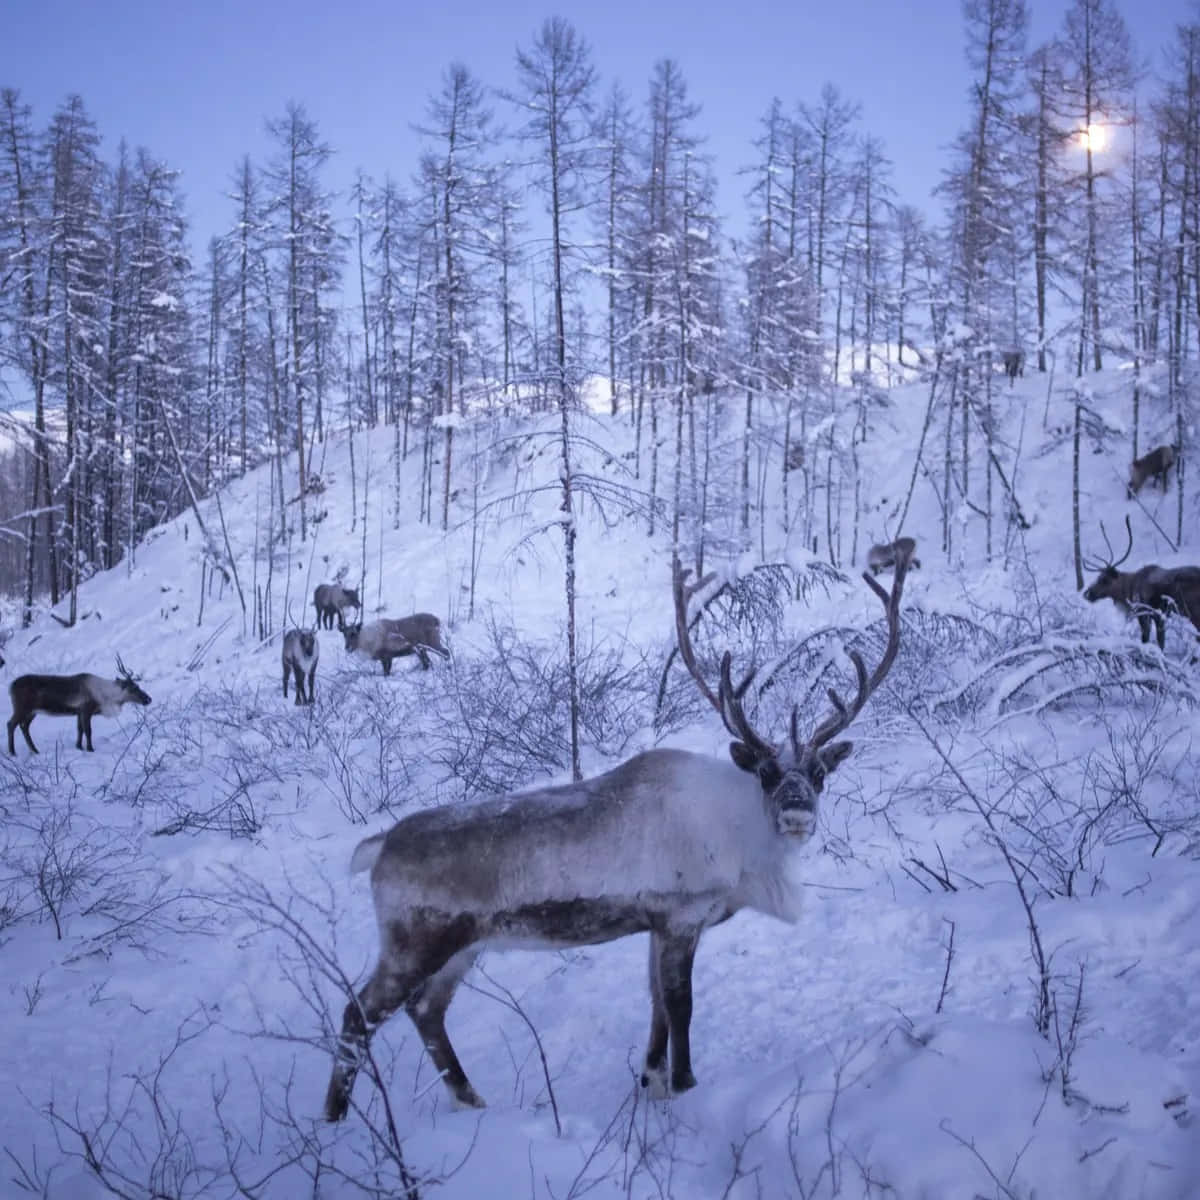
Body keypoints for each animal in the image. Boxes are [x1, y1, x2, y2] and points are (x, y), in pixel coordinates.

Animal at [7, 656, 152, 755]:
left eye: (137, 686)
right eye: (133, 688)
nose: (148, 699)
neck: (104, 696)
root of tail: (11, 687)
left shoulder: (78, 712)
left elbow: (79, 729)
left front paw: (79, 747)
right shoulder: (86, 710)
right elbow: (88, 731)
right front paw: (90, 749)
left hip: (32, 712)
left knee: (24, 726)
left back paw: (35, 750)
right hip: (22, 708)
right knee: (11, 724)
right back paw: (13, 752)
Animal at [323, 551, 909, 1122]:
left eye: (819, 773)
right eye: (766, 772)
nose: (795, 812)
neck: (740, 838)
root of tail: (381, 845)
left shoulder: (657, 924)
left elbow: (655, 1007)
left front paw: (651, 1084)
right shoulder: (680, 916)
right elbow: (680, 1007)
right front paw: (684, 1086)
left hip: (462, 948)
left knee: (426, 1010)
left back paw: (471, 1100)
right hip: (414, 942)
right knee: (358, 1012)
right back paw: (335, 1117)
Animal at [1082, 515, 1200, 650]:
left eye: (1105, 580)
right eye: (1098, 576)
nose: (1087, 593)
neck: (1128, 588)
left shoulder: (1146, 613)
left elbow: (1148, 639)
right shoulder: (1159, 617)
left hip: (1193, 613)